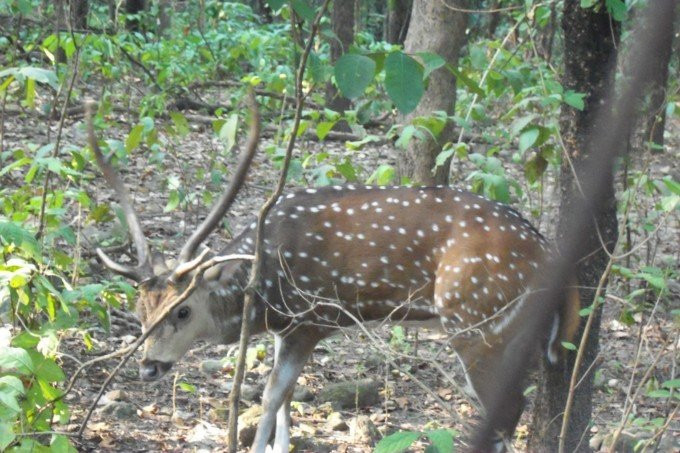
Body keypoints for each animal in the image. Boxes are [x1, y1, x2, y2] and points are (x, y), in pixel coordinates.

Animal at [87, 99, 580, 453]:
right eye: (140, 308)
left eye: (183, 310)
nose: (149, 366)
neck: (263, 295)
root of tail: (549, 251)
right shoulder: (286, 329)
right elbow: (285, 399)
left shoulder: (312, 320)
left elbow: (270, 395)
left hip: (478, 321)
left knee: (507, 409)